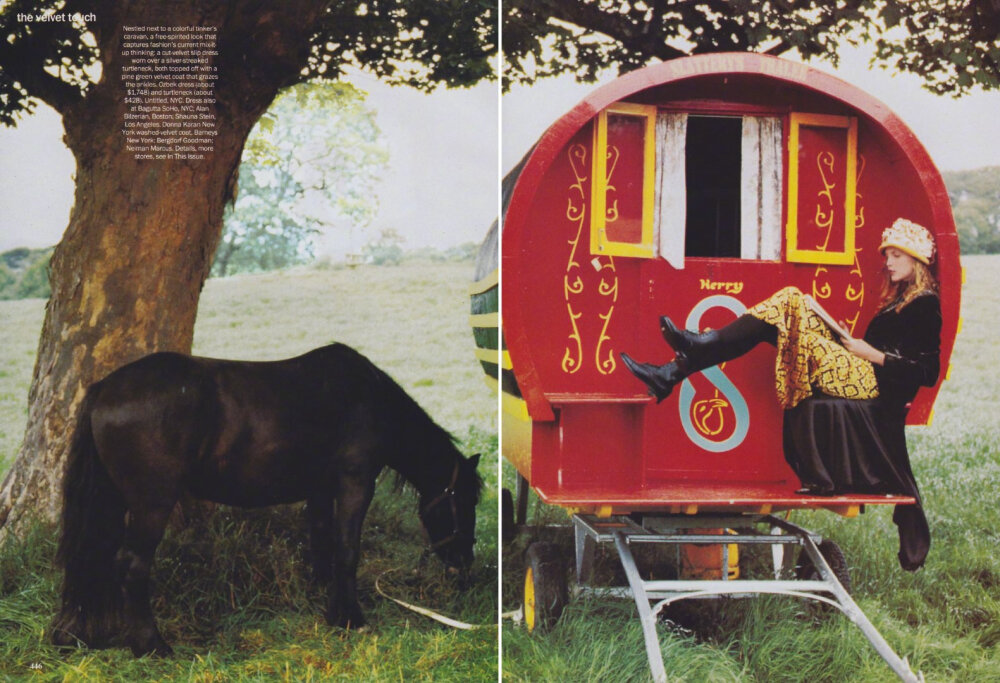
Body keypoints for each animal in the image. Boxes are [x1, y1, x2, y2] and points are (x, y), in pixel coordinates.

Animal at [49, 344, 480, 660]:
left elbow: (323, 545)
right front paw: (351, 618)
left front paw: (327, 605)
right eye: (467, 501)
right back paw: (152, 646)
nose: (465, 566)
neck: (367, 399)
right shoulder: (355, 484)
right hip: (151, 504)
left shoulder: (320, 490)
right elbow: (347, 549)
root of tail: (106, 388)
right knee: (131, 564)